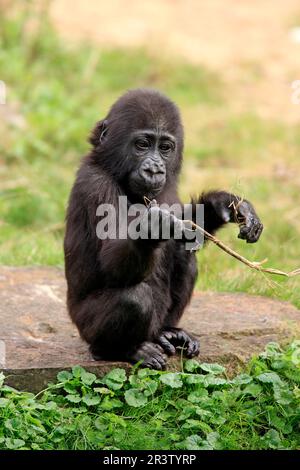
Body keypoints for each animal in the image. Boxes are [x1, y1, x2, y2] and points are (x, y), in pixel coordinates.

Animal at [63, 87, 262, 368]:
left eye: (165, 148)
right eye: (143, 145)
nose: (155, 170)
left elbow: (189, 230)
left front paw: (224, 205)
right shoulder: (95, 185)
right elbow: (113, 268)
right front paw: (151, 229)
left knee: (186, 259)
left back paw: (166, 332)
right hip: (83, 327)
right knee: (133, 300)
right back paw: (124, 349)